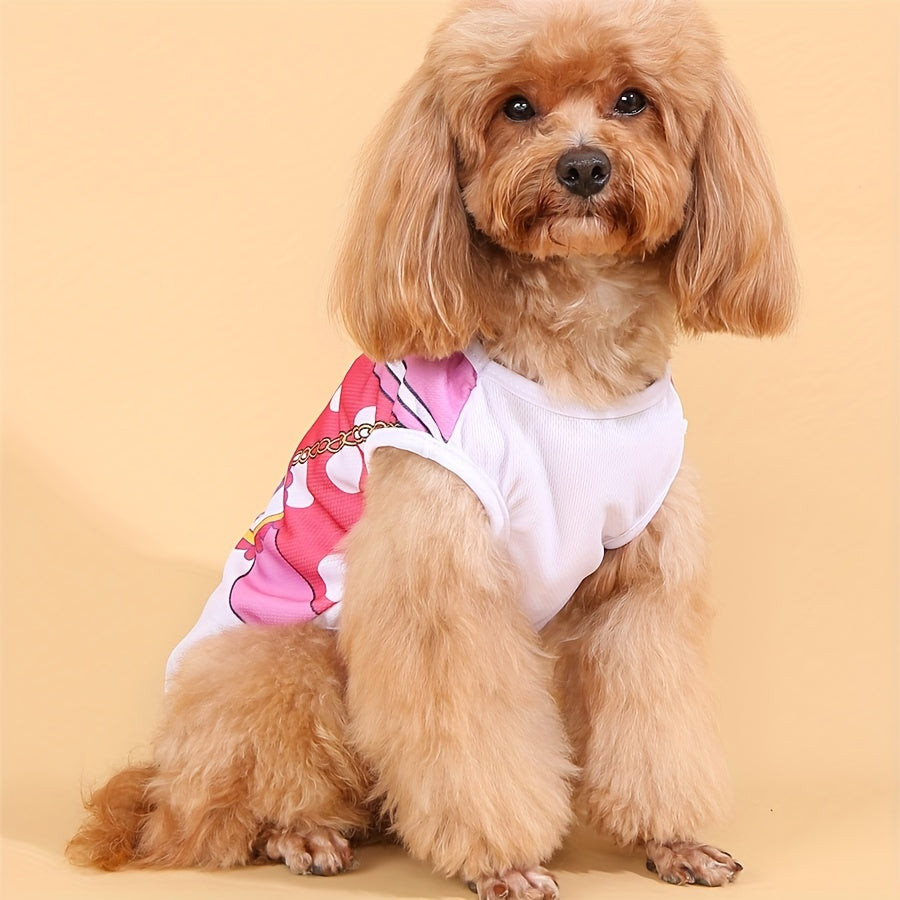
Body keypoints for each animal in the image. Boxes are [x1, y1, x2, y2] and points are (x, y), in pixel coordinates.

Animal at [67, 0, 798, 896]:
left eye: (632, 100)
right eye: (516, 107)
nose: (584, 167)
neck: (573, 362)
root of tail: (157, 787)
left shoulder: (641, 587)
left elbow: (655, 722)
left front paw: (671, 840)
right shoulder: (440, 587)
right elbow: (467, 735)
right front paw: (506, 860)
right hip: (280, 654)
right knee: (233, 805)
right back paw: (305, 832)